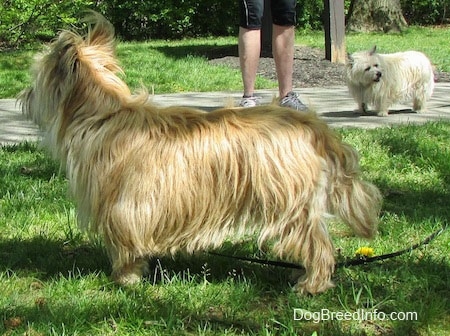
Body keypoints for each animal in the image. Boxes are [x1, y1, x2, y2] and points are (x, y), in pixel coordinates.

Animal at [19, 13, 382, 294]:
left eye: (36, 80)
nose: (24, 97)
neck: (104, 114)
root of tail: (311, 125)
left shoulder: (123, 206)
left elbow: (125, 244)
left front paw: (125, 278)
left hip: (288, 201)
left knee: (316, 242)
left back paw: (311, 284)